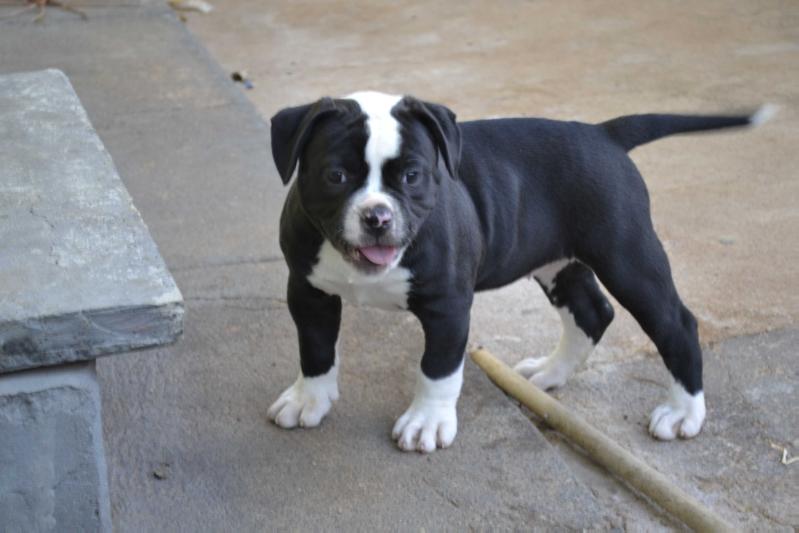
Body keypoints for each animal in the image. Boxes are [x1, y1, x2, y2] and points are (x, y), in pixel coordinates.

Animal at [268, 90, 776, 448]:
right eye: (336, 176)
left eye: (412, 176)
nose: (377, 217)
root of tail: (603, 133)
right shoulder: (307, 293)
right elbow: (315, 349)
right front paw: (309, 399)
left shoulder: (448, 306)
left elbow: (437, 368)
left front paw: (426, 422)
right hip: (559, 261)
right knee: (592, 312)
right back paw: (549, 374)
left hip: (628, 257)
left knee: (676, 323)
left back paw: (684, 413)